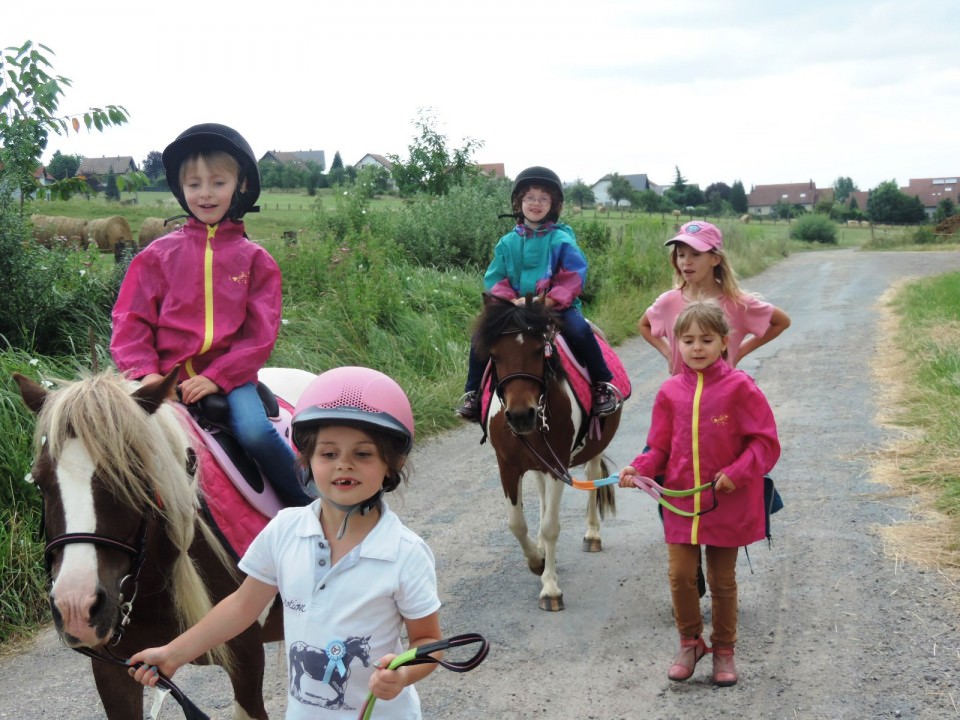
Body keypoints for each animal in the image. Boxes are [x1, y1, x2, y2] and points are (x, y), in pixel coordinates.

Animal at [474, 296, 624, 612]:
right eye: (494, 355)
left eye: (537, 350)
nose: (521, 416)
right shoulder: (508, 466)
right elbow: (517, 523)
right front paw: (537, 561)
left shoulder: (558, 465)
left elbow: (551, 526)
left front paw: (551, 589)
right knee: (542, 495)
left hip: (592, 449)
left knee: (592, 478)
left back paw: (592, 534)